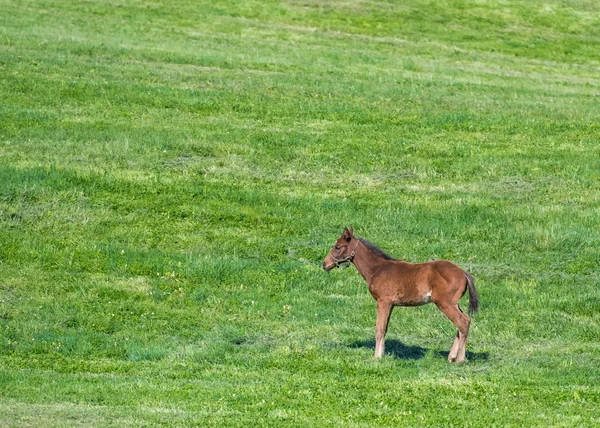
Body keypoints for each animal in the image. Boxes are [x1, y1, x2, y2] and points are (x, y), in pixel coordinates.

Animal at [324, 227, 478, 362]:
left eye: (338, 247)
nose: (324, 264)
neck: (378, 269)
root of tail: (463, 273)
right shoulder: (391, 304)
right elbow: (385, 329)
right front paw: (382, 354)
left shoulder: (383, 301)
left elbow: (379, 329)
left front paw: (377, 357)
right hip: (454, 303)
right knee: (461, 324)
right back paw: (451, 357)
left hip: (445, 303)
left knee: (463, 322)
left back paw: (460, 359)